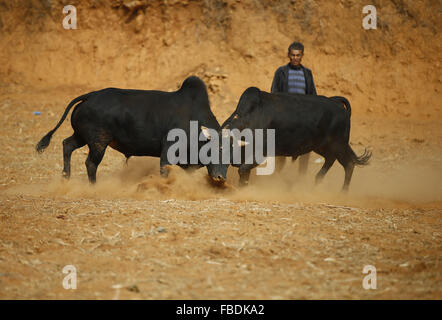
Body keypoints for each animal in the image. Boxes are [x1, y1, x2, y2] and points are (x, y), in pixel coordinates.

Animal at [35, 76, 226, 184]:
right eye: (213, 149)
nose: (220, 178)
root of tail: (91, 96)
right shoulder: (168, 152)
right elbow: (165, 170)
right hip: (98, 143)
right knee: (90, 163)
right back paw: (93, 185)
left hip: (82, 137)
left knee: (67, 144)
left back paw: (65, 177)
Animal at [223, 87, 372, 190]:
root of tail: (337, 104)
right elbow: (244, 171)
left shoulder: (261, 153)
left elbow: (243, 169)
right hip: (322, 146)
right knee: (338, 161)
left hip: (337, 145)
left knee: (346, 163)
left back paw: (342, 192)